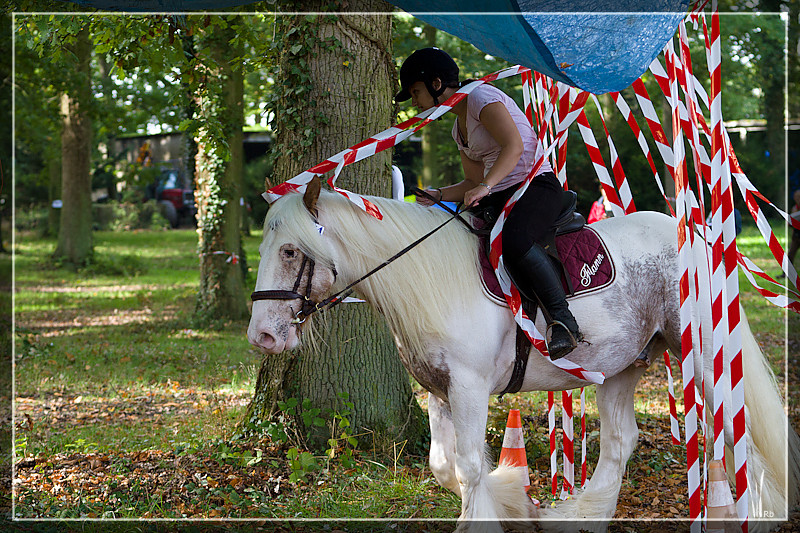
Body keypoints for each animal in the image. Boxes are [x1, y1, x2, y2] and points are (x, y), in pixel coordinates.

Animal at [247, 182, 796, 528]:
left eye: (291, 251)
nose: (263, 337)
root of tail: (694, 239)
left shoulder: (469, 389)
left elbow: (468, 466)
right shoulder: (439, 393)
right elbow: (444, 465)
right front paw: (517, 504)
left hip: (702, 355)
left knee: (740, 430)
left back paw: (757, 512)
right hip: (621, 366)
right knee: (621, 441)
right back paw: (580, 517)